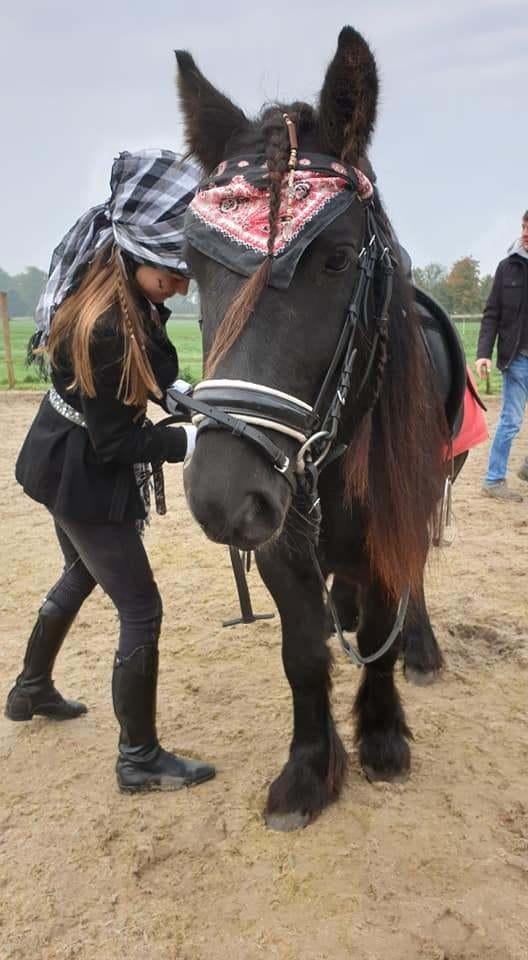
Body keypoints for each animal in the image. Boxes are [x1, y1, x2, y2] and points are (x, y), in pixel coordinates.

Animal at [173, 27, 463, 831]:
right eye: (193, 263)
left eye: (335, 260)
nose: (223, 493)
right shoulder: (281, 544)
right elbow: (304, 652)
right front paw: (308, 771)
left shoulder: (395, 517)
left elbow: (381, 631)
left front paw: (383, 737)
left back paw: (421, 648)